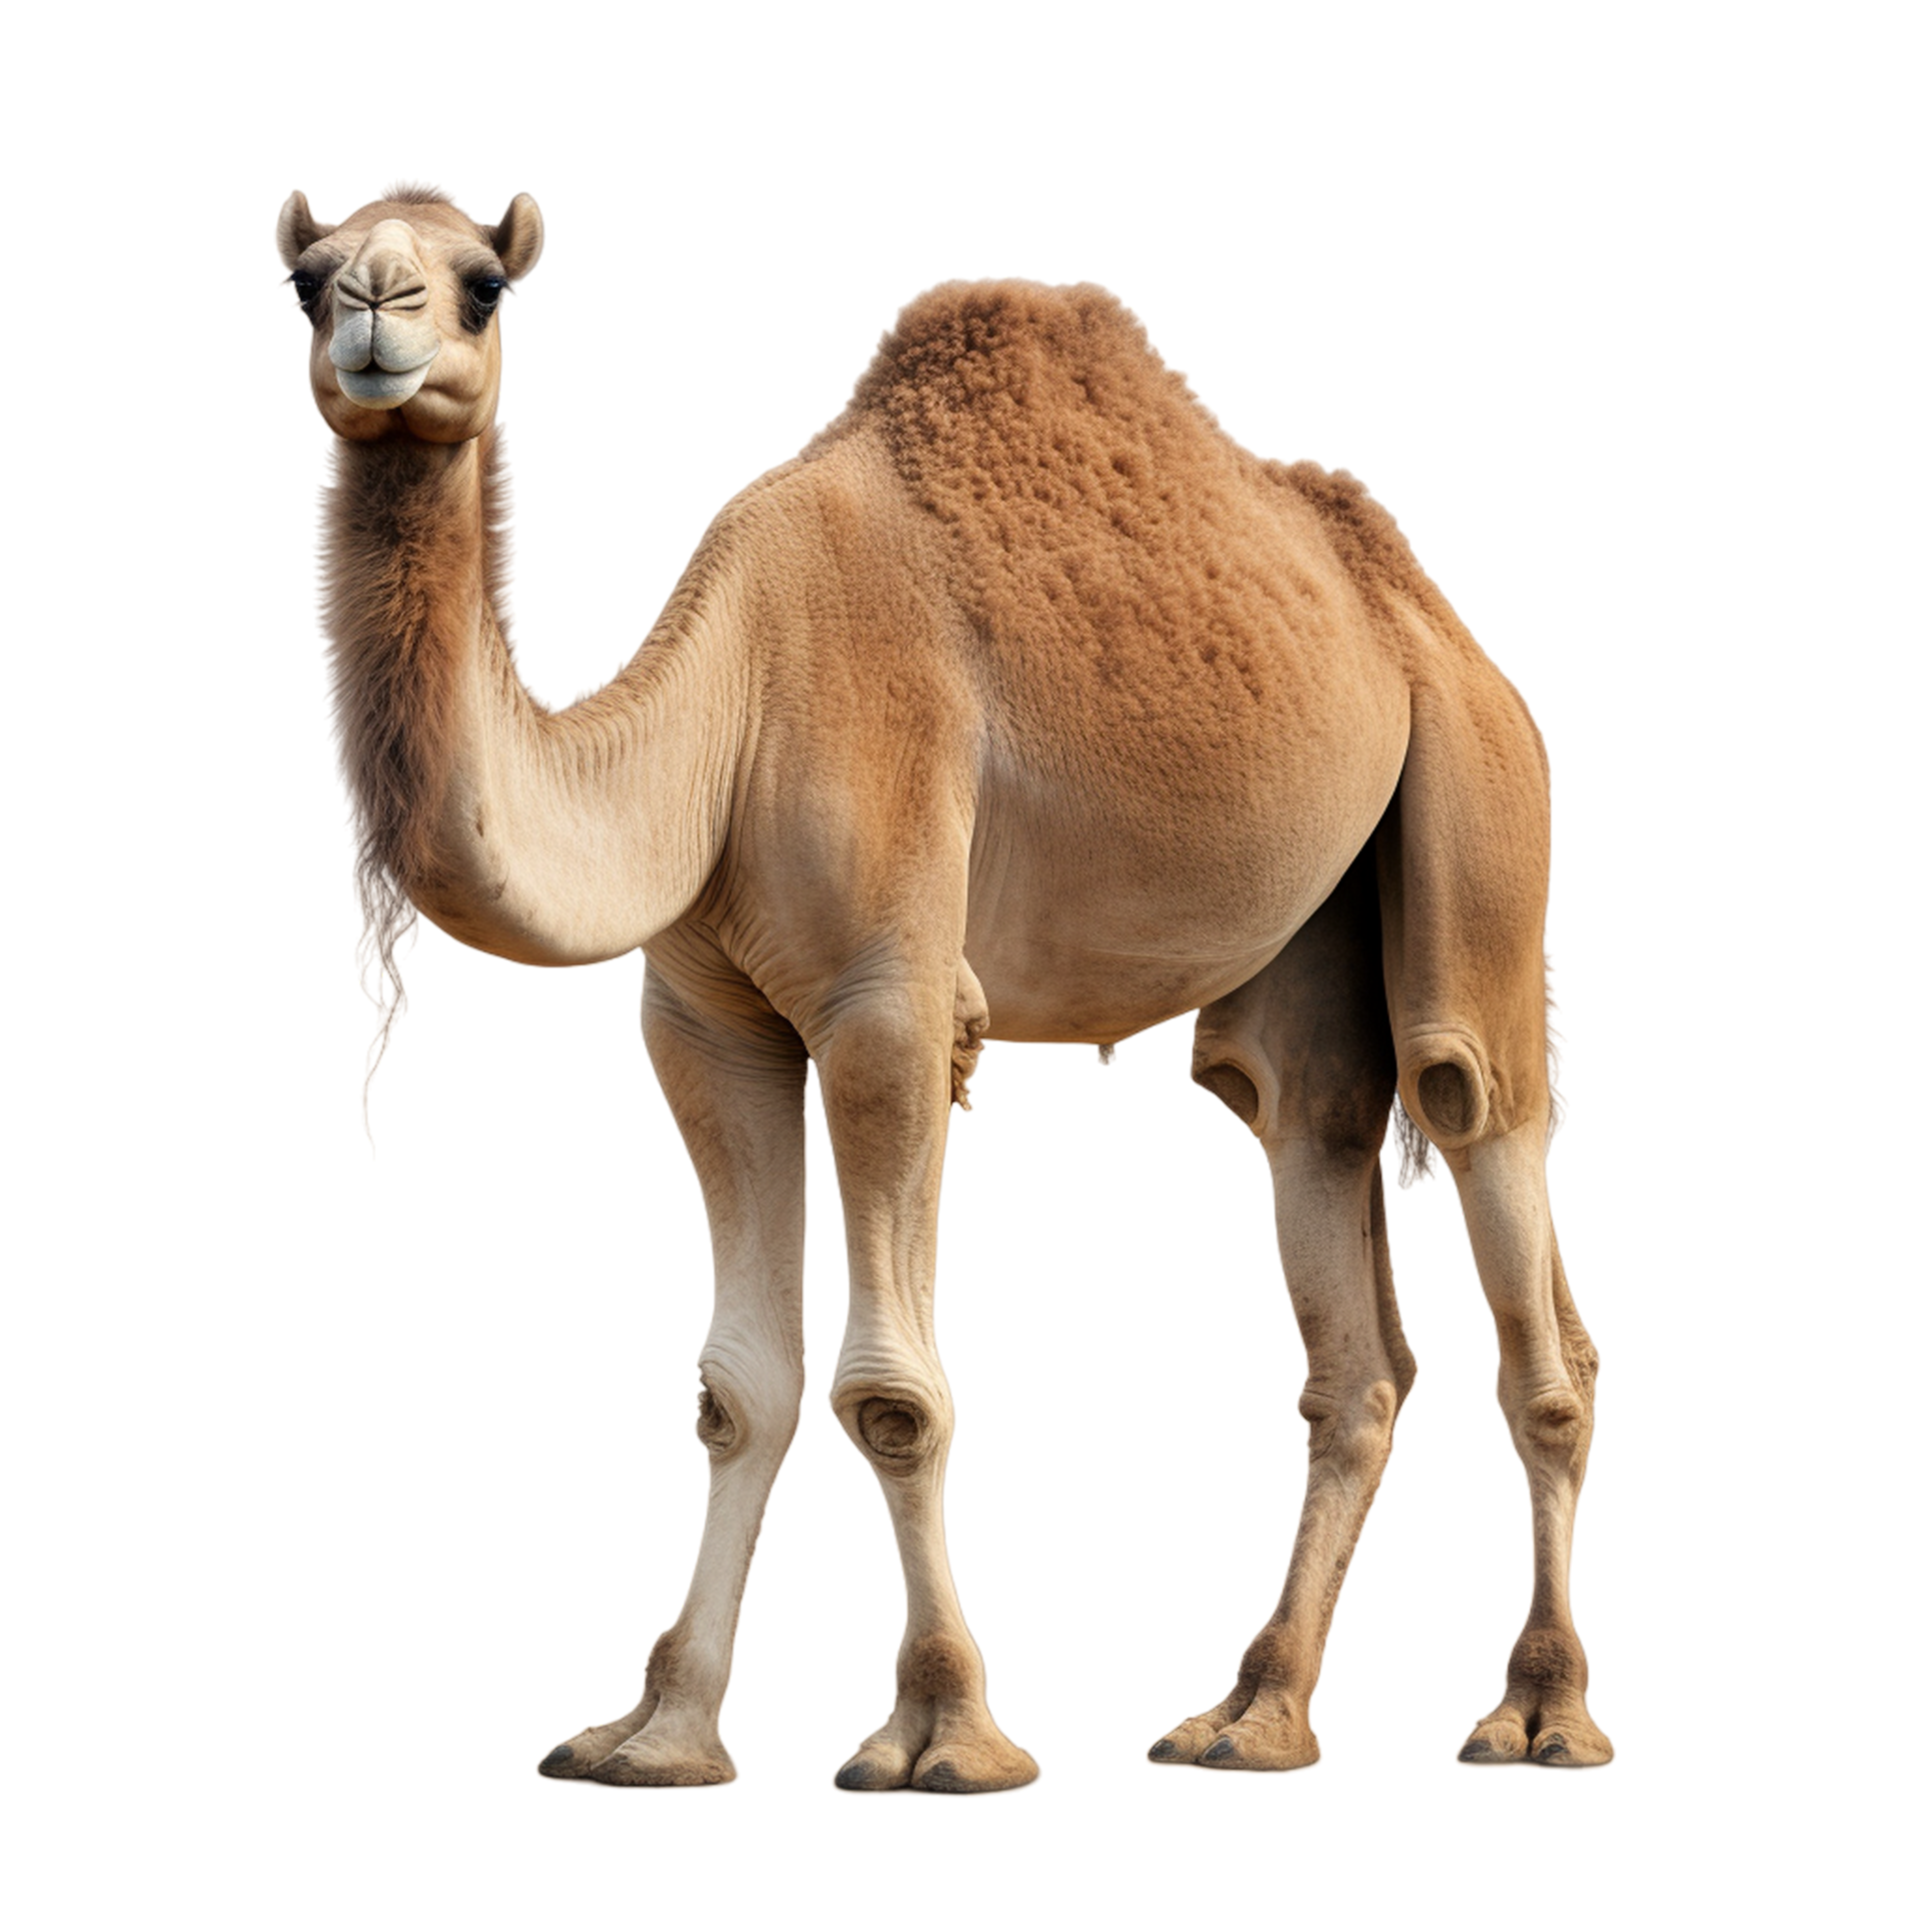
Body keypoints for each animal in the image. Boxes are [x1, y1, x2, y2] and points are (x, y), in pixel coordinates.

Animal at [281, 180, 1609, 1792]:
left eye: (482, 282)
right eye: (305, 276)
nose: (376, 311)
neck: (728, 709)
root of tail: (1429, 612)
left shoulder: (890, 1004)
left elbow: (893, 1395)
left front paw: (936, 1731)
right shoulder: (709, 1020)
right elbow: (737, 1385)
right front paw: (657, 1731)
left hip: (1477, 827)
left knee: (1491, 1156)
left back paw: (1539, 1716)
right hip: (1306, 953)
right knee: (1332, 1241)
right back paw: (1253, 1717)